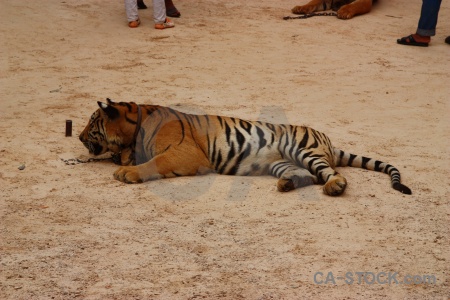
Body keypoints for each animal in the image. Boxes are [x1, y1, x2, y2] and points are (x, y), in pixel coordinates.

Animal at [78, 98, 412, 197]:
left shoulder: (185, 152)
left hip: (304, 150)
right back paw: (287, 184)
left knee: (330, 174)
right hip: (281, 161)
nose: (79, 137)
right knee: (309, 175)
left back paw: (335, 187)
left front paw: (126, 172)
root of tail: (328, 141)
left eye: (92, 121)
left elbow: (152, 164)